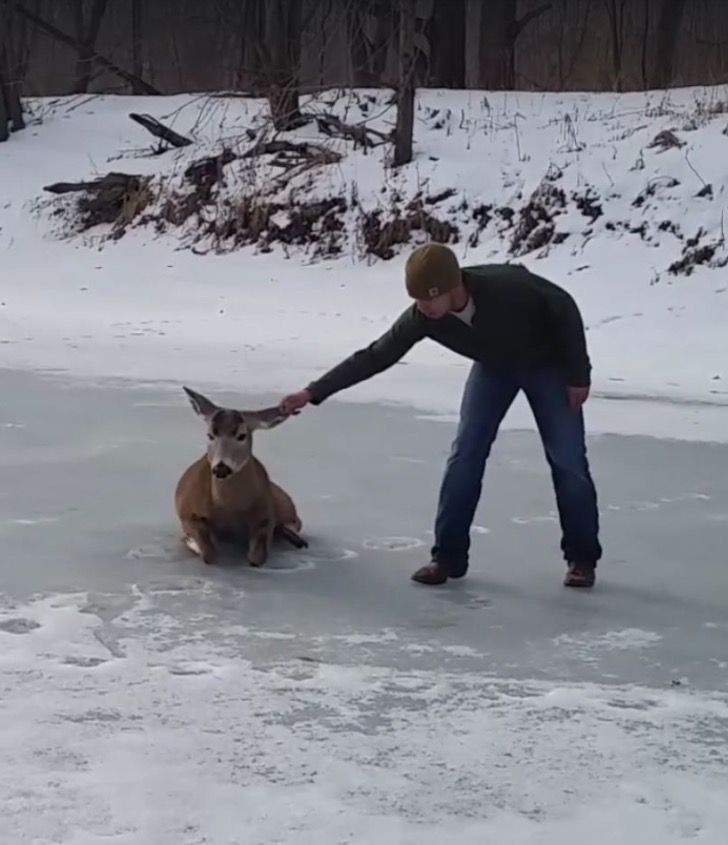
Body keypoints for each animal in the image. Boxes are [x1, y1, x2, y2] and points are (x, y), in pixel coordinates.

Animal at [176, 388, 308, 568]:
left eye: (242, 435)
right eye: (210, 435)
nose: (221, 467)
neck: (229, 511)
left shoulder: (266, 514)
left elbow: (257, 557)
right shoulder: (188, 511)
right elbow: (209, 554)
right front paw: (191, 541)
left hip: (283, 500)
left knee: (296, 522)